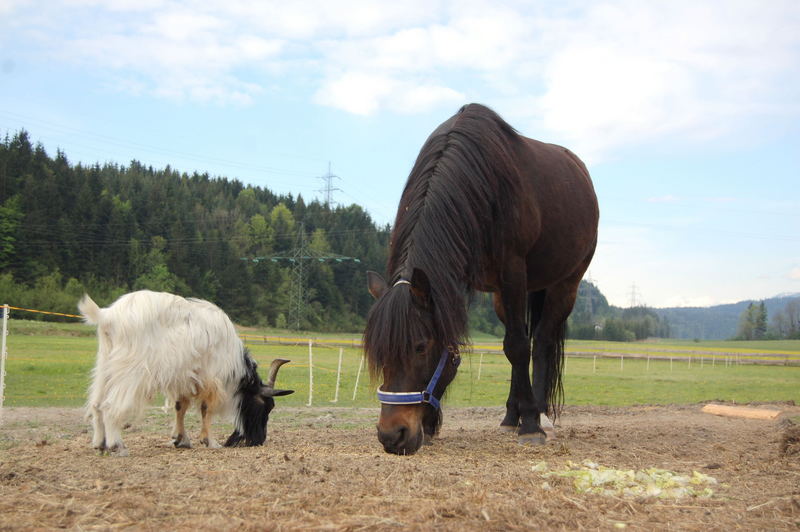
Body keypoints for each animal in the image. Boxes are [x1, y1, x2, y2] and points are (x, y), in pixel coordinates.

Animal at [78, 290, 294, 458]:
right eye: (266, 406)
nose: (259, 440)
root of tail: (107, 316)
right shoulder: (211, 378)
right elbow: (206, 408)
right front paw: (210, 441)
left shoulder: (186, 378)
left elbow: (180, 406)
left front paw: (181, 439)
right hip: (132, 371)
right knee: (110, 406)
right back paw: (118, 446)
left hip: (106, 363)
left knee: (96, 404)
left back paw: (100, 445)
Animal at [366, 105, 596, 458]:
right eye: (378, 351)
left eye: (420, 347)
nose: (392, 436)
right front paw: (431, 424)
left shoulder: (512, 269)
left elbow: (518, 346)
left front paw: (532, 425)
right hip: (505, 294)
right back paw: (512, 415)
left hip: (565, 283)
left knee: (539, 341)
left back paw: (538, 413)